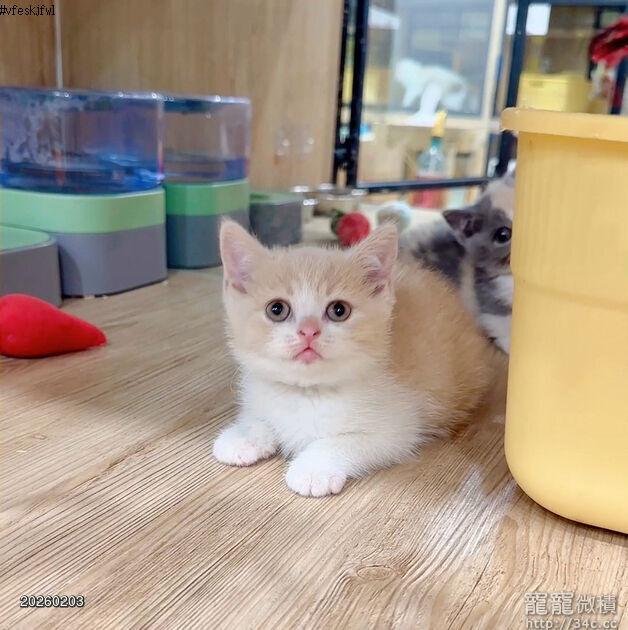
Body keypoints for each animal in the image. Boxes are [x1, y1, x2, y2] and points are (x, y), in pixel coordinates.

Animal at [213, 220, 494, 497]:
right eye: (277, 309)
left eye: (339, 310)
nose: (308, 331)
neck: (306, 392)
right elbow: (258, 416)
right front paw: (242, 434)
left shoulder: (398, 429)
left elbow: (345, 441)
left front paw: (314, 469)